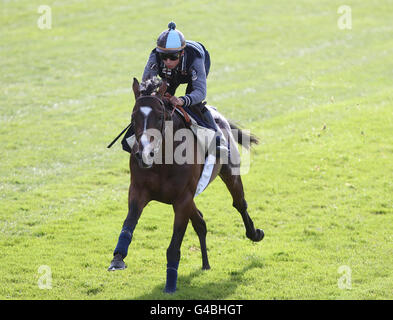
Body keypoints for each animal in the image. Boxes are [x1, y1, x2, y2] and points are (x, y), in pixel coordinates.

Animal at [107, 77, 264, 292]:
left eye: (159, 116)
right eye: (133, 116)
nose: (144, 153)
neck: (163, 161)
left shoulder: (182, 199)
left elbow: (174, 245)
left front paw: (170, 283)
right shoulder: (139, 192)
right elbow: (128, 224)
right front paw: (118, 258)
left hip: (230, 172)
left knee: (239, 204)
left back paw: (254, 234)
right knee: (200, 222)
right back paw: (205, 263)